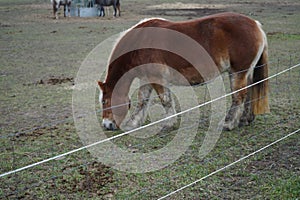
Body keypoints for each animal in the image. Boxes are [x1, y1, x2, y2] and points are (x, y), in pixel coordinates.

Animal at [98, 12, 270, 131]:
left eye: (105, 101)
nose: (107, 125)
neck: (140, 41)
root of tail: (256, 25)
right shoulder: (146, 79)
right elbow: (142, 100)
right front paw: (133, 123)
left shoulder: (157, 79)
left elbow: (165, 101)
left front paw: (169, 124)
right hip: (245, 73)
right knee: (249, 94)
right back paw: (245, 120)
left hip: (238, 72)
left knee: (239, 96)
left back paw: (229, 124)